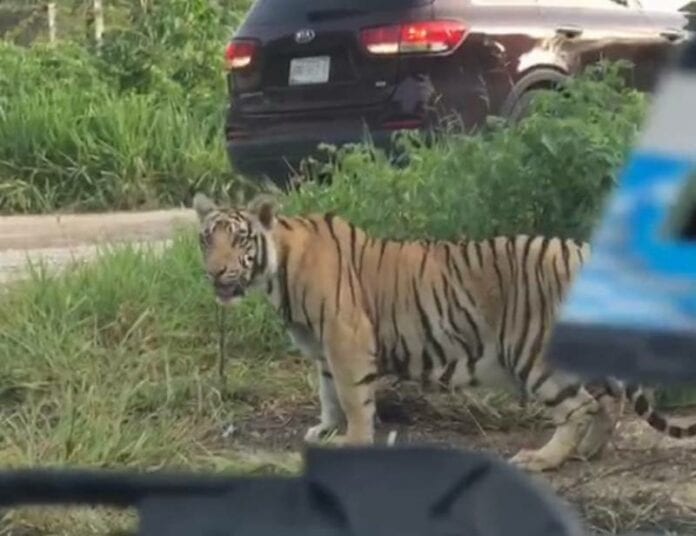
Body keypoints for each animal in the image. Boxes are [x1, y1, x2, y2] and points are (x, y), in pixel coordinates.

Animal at [192, 192, 696, 472]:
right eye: (206, 238)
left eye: (239, 239)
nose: (214, 272)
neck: (276, 269)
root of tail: (587, 251)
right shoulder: (322, 348)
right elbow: (327, 391)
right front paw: (326, 430)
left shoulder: (345, 337)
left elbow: (353, 397)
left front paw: (353, 440)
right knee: (607, 403)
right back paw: (587, 453)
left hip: (534, 353)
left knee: (581, 406)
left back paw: (544, 459)